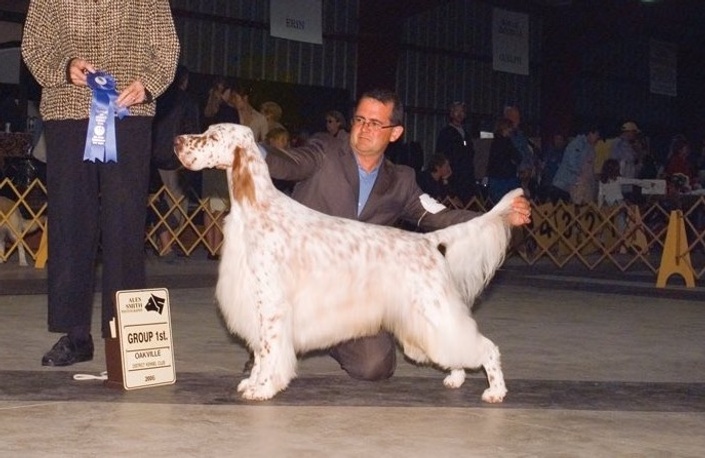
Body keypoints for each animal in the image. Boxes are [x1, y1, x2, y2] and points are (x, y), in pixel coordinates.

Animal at [174, 123, 520, 402]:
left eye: (212, 136)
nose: (177, 141)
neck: (256, 207)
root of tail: (427, 240)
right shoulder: (256, 304)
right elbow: (260, 354)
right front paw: (253, 382)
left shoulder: (271, 305)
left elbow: (270, 352)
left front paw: (264, 388)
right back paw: (456, 377)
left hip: (434, 309)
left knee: (486, 347)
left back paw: (496, 391)